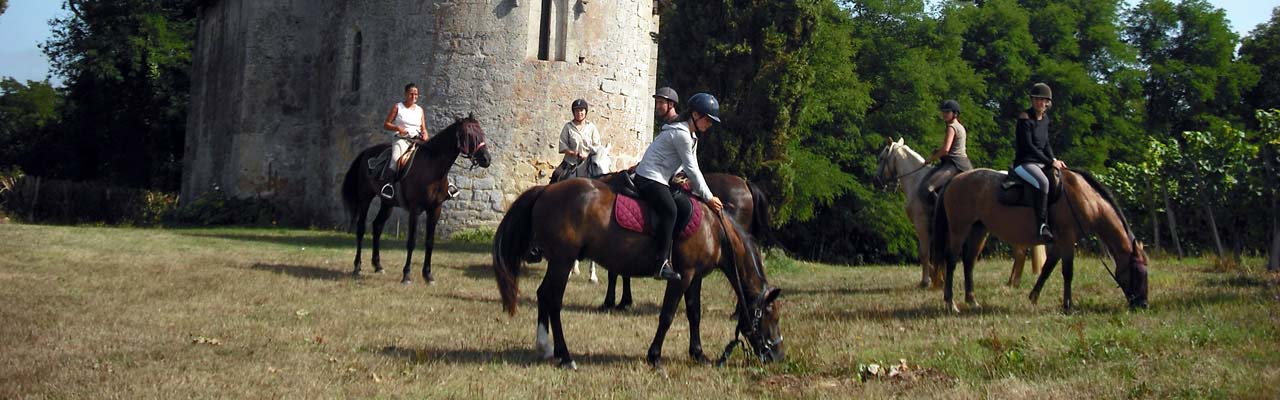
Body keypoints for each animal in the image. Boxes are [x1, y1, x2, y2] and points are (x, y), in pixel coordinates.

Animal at [875, 137, 1044, 287]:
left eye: (881, 157)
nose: (876, 180)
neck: (916, 181)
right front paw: (940, 279)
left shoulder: (921, 224)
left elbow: (924, 253)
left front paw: (926, 282)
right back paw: (1011, 282)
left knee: (1020, 252)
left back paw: (1013, 283)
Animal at [931, 166, 1152, 311]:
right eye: (1137, 272)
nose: (1143, 304)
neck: (1085, 198)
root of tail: (955, 180)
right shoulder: (1067, 239)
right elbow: (1067, 272)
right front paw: (1068, 306)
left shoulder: (1059, 242)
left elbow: (1047, 268)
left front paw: (1033, 296)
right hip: (959, 228)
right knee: (952, 261)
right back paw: (950, 303)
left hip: (979, 229)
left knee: (969, 262)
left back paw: (972, 301)